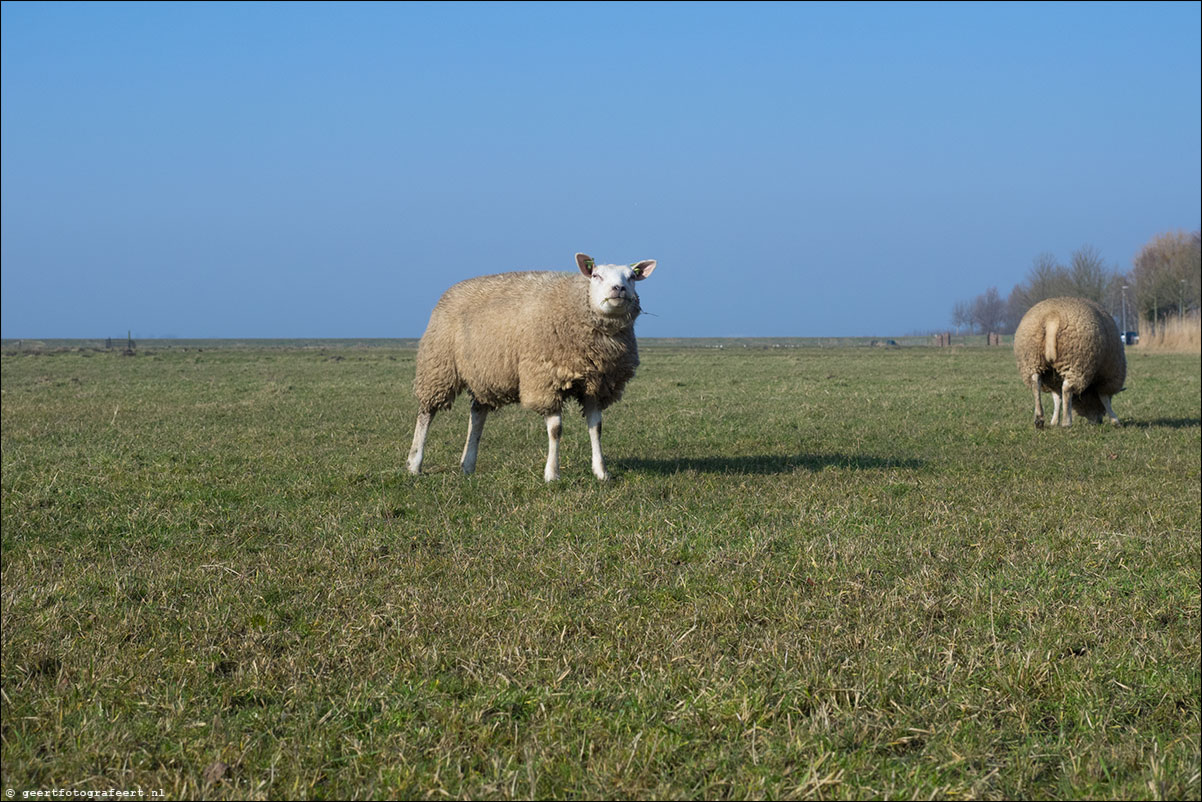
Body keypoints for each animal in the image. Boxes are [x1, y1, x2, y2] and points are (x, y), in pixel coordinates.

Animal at [406, 253, 658, 480]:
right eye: (596, 275)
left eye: (632, 277)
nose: (619, 289)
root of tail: (451, 290)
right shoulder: (546, 380)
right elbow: (556, 430)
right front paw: (552, 474)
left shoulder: (595, 385)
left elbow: (596, 428)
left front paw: (602, 473)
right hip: (438, 366)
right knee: (427, 413)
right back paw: (414, 463)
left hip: (485, 372)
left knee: (477, 414)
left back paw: (467, 465)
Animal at [1014, 298, 1125, 430]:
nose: (1099, 421)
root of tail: (1052, 316)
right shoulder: (1107, 377)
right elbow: (1105, 398)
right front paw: (1115, 420)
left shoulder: (1053, 380)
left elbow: (1057, 399)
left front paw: (1054, 421)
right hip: (1076, 362)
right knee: (1067, 388)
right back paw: (1067, 422)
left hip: (1032, 360)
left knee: (1036, 384)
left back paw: (1039, 419)